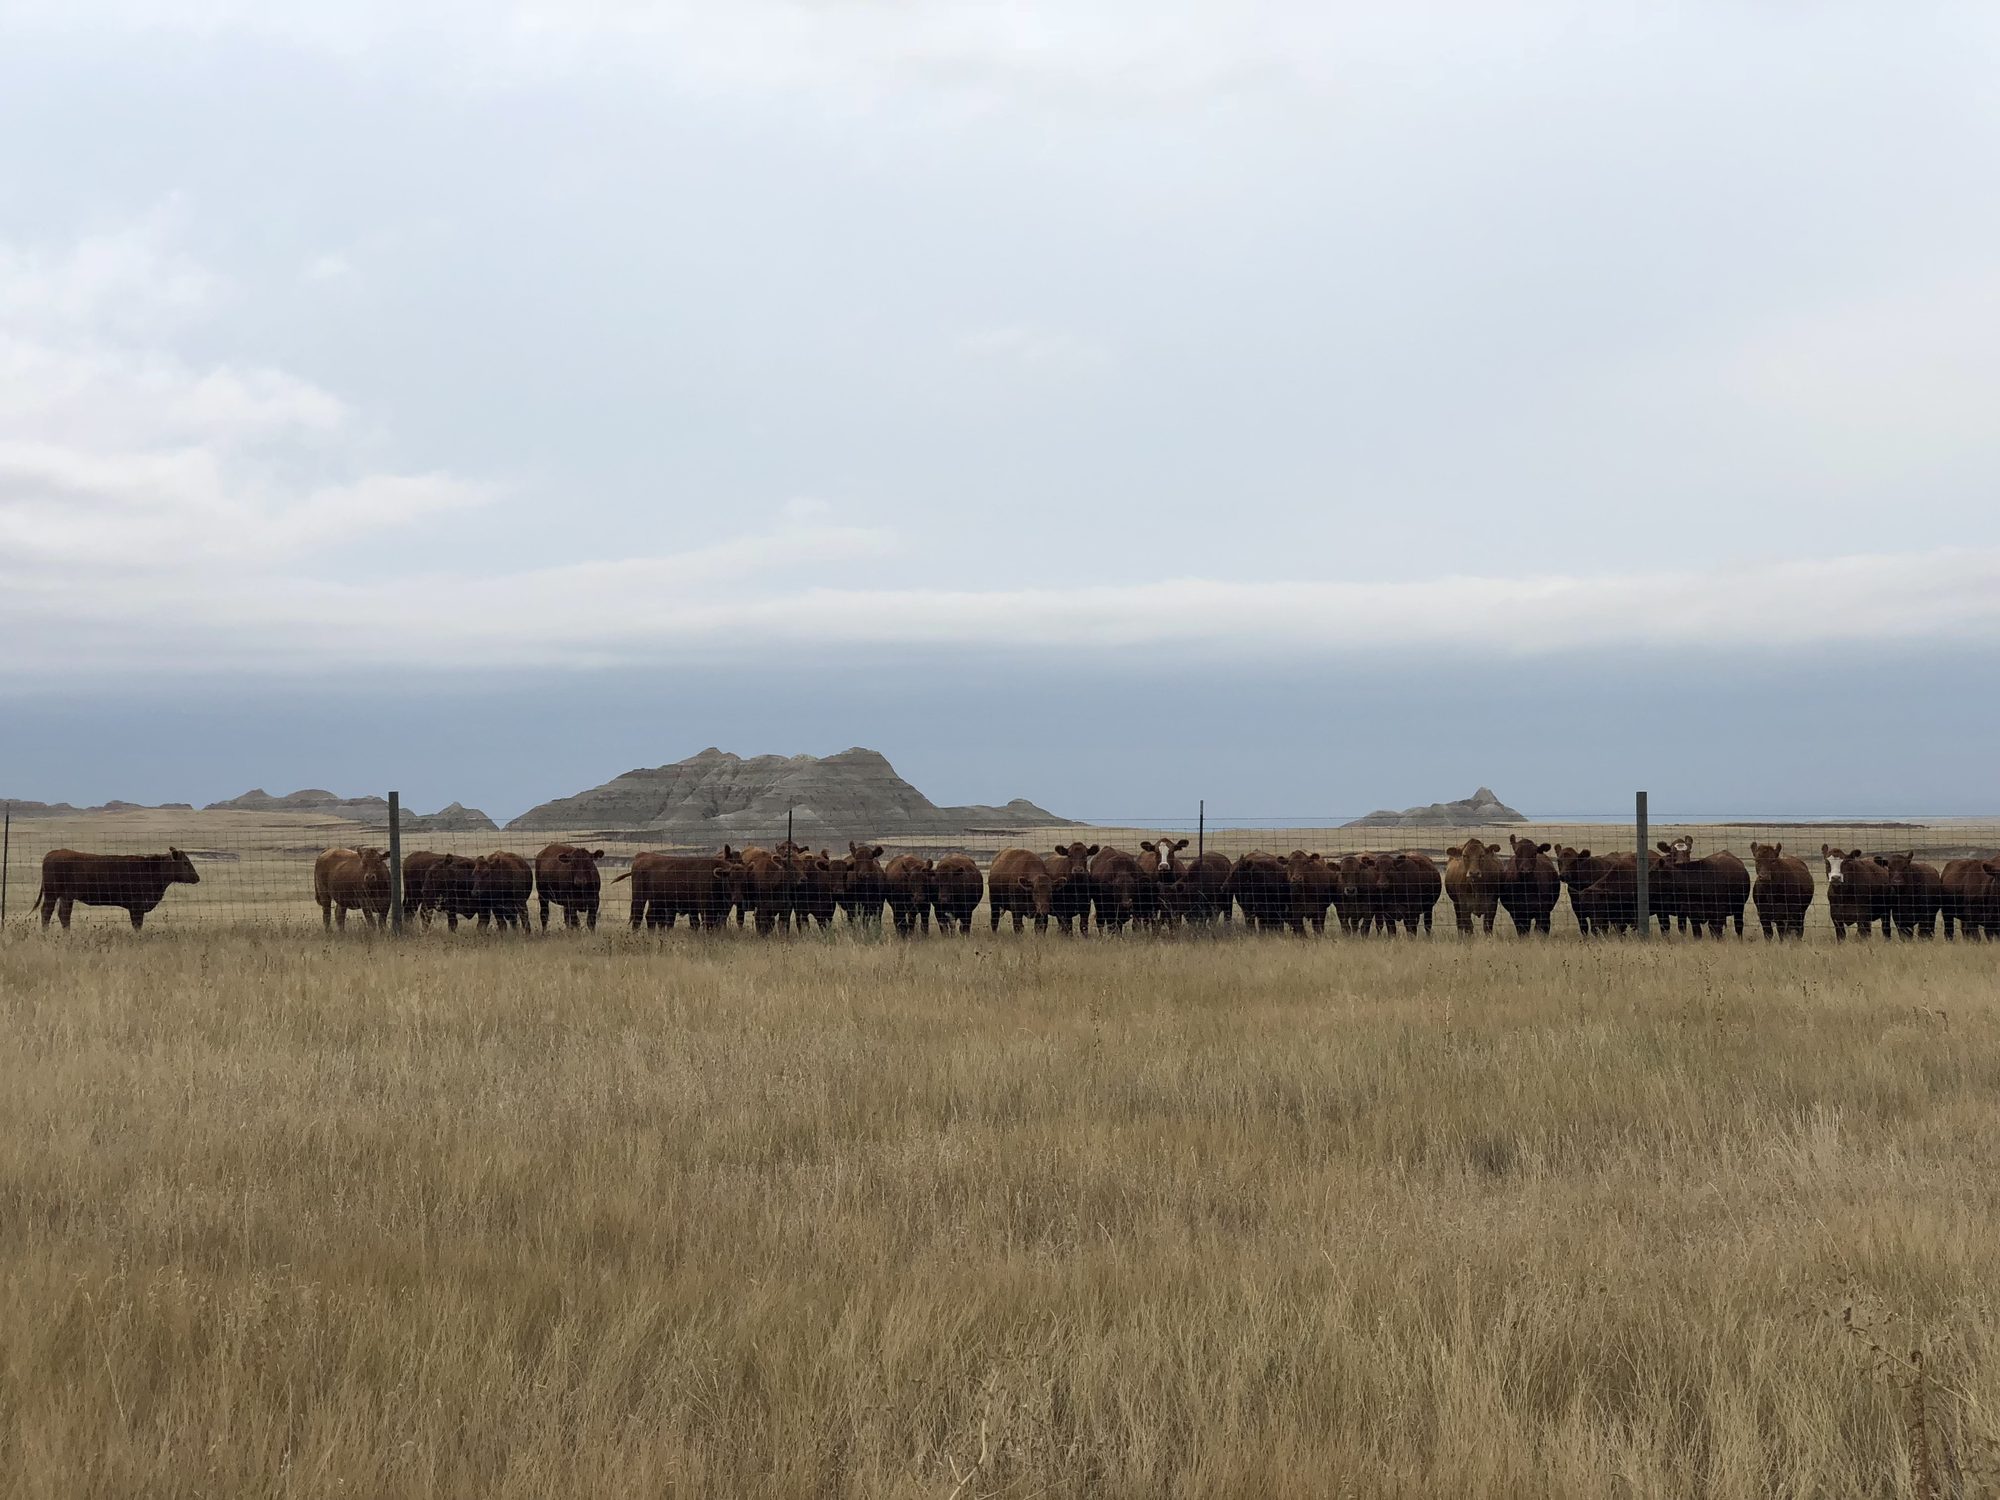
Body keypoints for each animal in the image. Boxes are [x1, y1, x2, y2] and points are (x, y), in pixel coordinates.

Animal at [31, 847, 200, 931]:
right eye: (185, 862)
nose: (197, 877)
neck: (151, 869)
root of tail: (53, 853)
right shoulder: (136, 907)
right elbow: (137, 925)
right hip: (54, 894)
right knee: (49, 913)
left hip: (64, 896)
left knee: (60, 914)